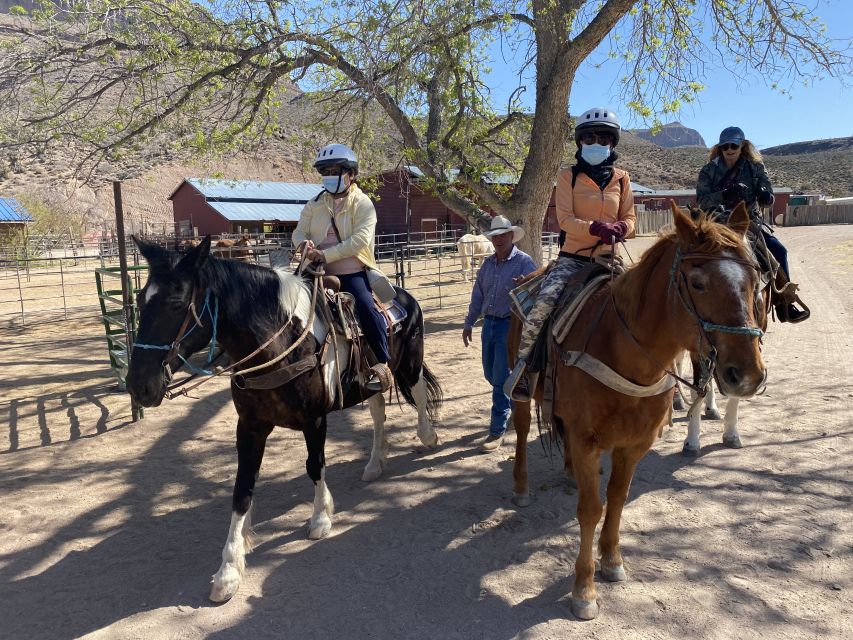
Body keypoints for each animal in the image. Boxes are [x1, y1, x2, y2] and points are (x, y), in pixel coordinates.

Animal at [131, 238, 446, 604]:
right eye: (140, 300)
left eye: (176, 303)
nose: (138, 385)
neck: (280, 344)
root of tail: (403, 295)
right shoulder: (250, 428)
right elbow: (242, 489)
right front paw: (228, 571)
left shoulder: (315, 419)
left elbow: (315, 465)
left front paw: (320, 519)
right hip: (370, 381)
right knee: (378, 412)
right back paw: (375, 464)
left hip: (409, 362)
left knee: (419, 392)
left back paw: (428, 436)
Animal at [506, 202, 764, 616]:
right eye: (697, 283)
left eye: (755, 281)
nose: (748, 374)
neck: (624, 351)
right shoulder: (588, 441)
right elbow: (591, 509)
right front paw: (584, 590)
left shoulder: (634, 445)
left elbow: (617, 498)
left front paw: (612, 561)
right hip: (521, 390)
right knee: (522, 428)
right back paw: (521, 486)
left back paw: (567, 472)